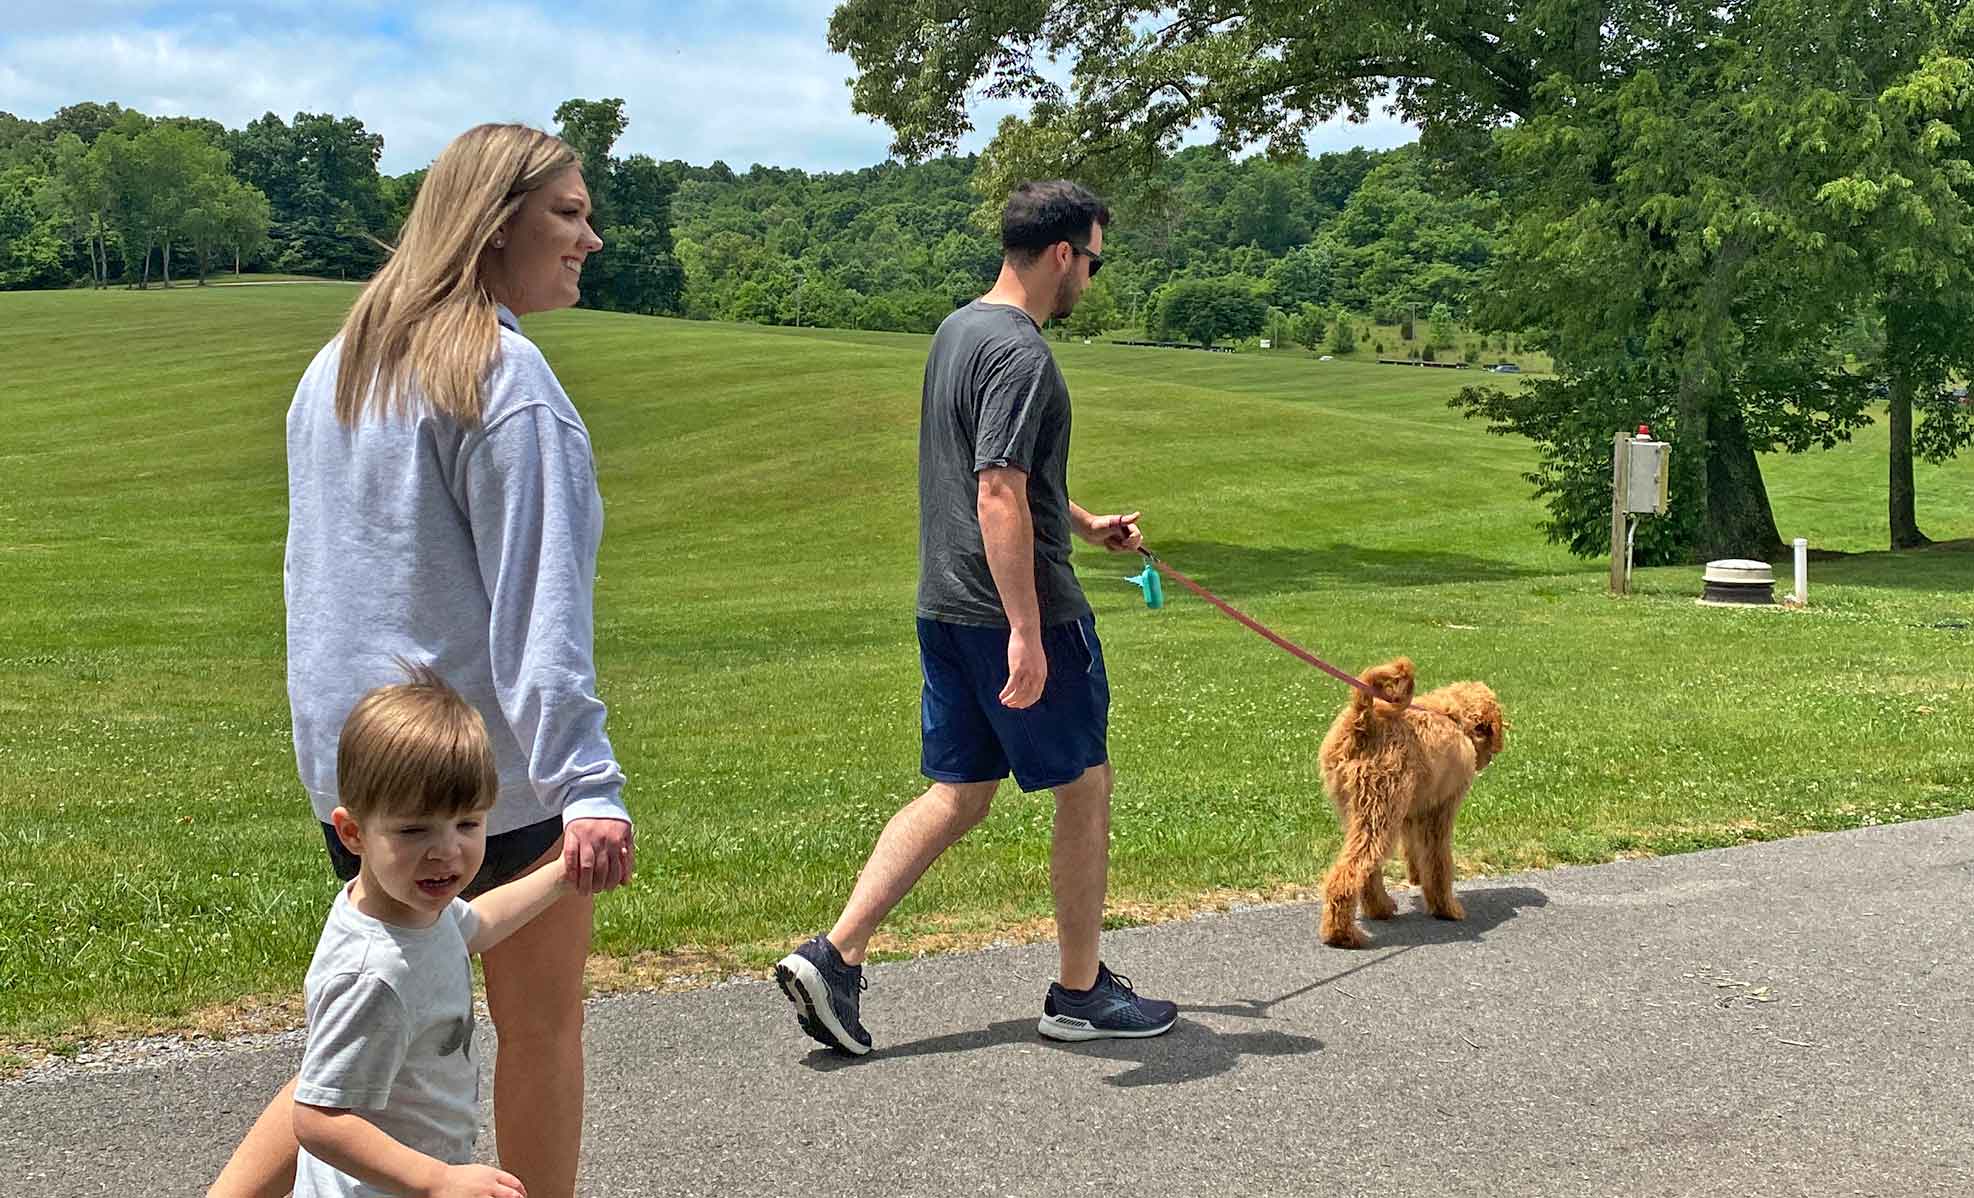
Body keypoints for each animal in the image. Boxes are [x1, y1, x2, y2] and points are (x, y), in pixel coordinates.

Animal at [1318, 655, 1500, 947]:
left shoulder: (1413, 812)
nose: (1489, 758)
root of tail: (1364, 720)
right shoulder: (1441, 810)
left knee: (1367, 871)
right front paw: (1447, 909)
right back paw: (1342, 934)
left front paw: (1416, 877)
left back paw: (1379, 909)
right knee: (1350, 873)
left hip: (1361, 811)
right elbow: (1438, 862)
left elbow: (1416, 853)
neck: (1454, 717)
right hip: (1380, 811)